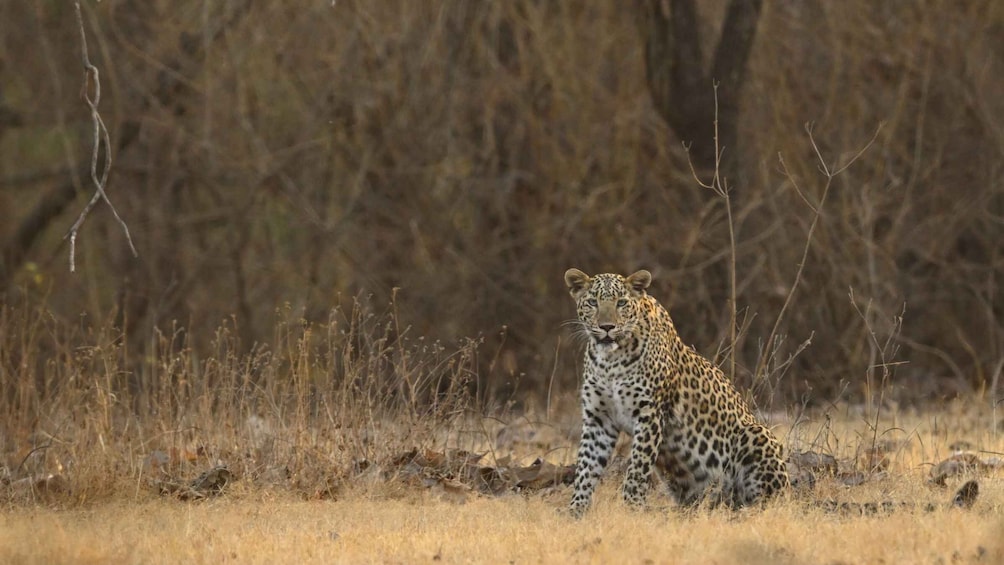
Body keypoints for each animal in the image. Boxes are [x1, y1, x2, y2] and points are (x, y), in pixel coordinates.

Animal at [566, 266, 791, 517]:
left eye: (621, 303)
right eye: (592, 302)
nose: (607, 327)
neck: (610, 361)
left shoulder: (650, 414)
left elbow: (637, 468)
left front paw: (632, 510)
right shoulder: (598, 418)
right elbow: (586, 468)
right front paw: (576, 511)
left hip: (757, 435)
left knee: (769, 503)